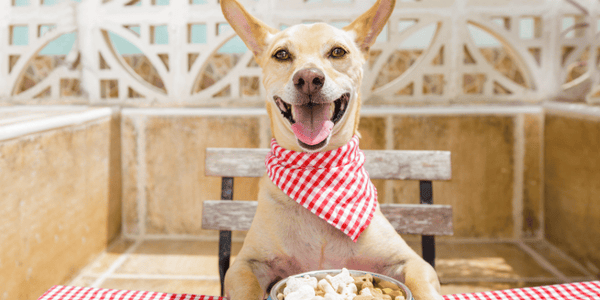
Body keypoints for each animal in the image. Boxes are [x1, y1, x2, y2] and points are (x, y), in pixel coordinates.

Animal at [220, 0, 446, 298]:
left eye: (338, 51)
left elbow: (421, 283)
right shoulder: (245, 264)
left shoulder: (412, 261)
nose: (307, 78)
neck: (318, 171)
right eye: (282, 54)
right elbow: (246, 285)